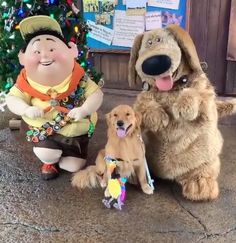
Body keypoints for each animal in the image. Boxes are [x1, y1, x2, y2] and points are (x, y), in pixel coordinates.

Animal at [129, 24, 236, 201]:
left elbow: (197, 95)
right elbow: (142, 106)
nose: (153, 62)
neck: (170, 90)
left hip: (205, 159)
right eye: (148, 43)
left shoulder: (205, 95)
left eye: (160, 40)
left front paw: (184, 106)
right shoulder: (145, 97)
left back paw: (199, 185)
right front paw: (157, 117)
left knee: (202, 169)